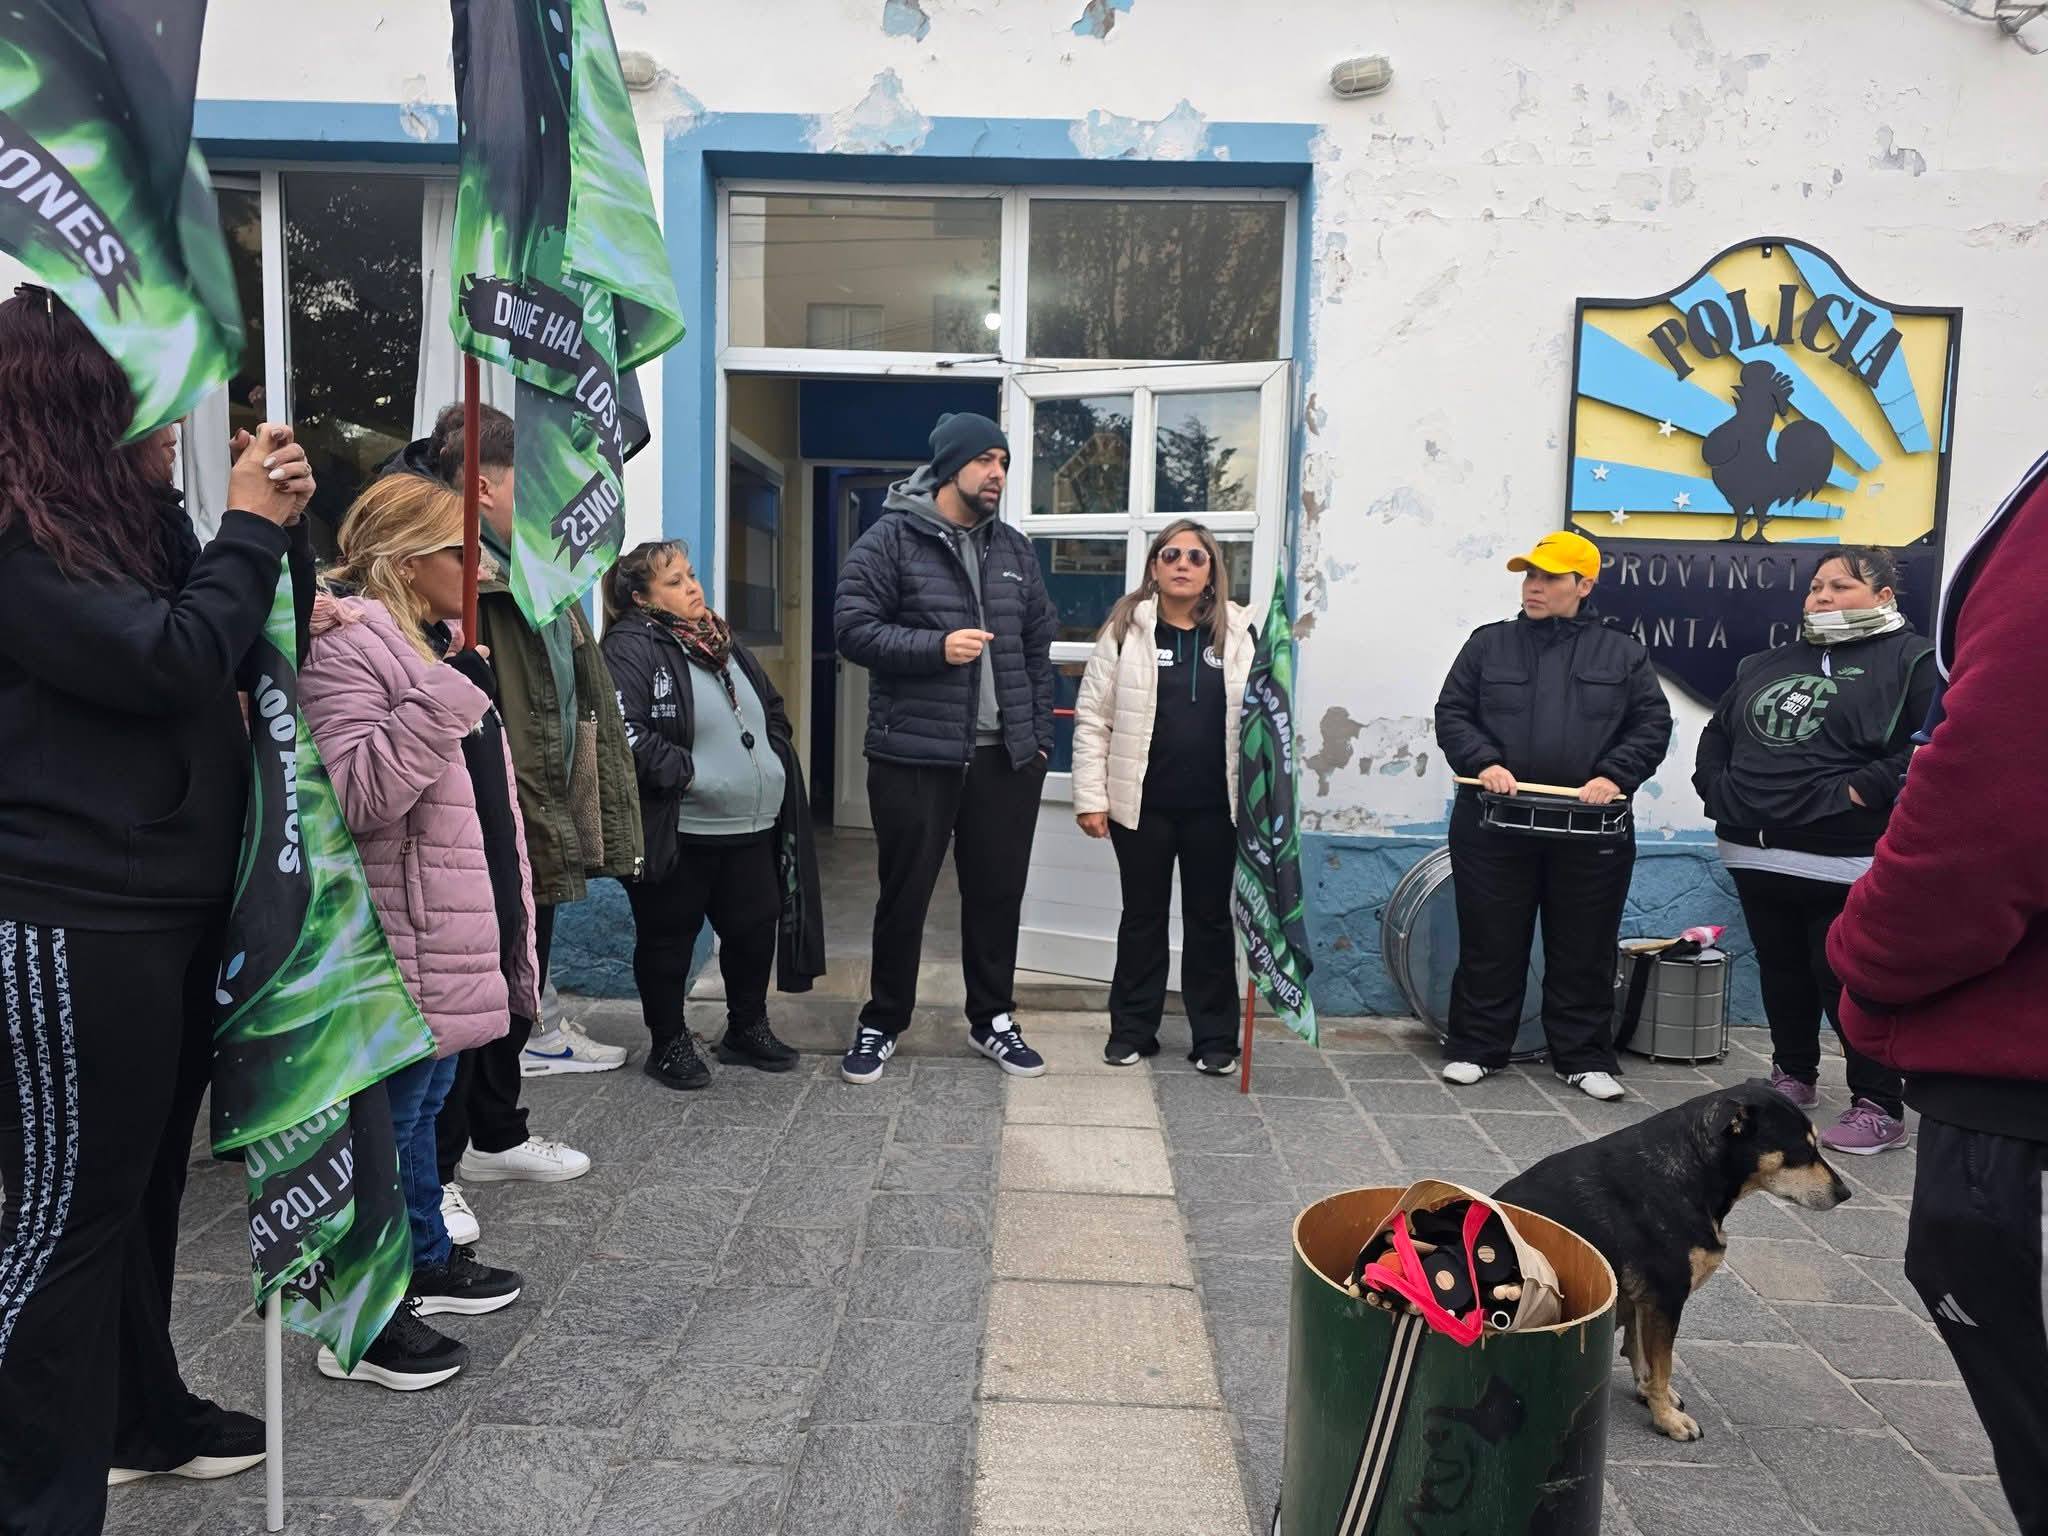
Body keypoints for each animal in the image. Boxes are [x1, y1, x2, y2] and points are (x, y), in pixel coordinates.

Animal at [1495, 1080, 1851, 1441]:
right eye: (1802, 1151)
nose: (1845, 1194)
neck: (1692, 1169)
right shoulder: (1664, 1298)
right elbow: (1661, 1365)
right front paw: (1666, 1418)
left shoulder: (1645, 1300)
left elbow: (1642, 1352)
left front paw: (1653, 1395)